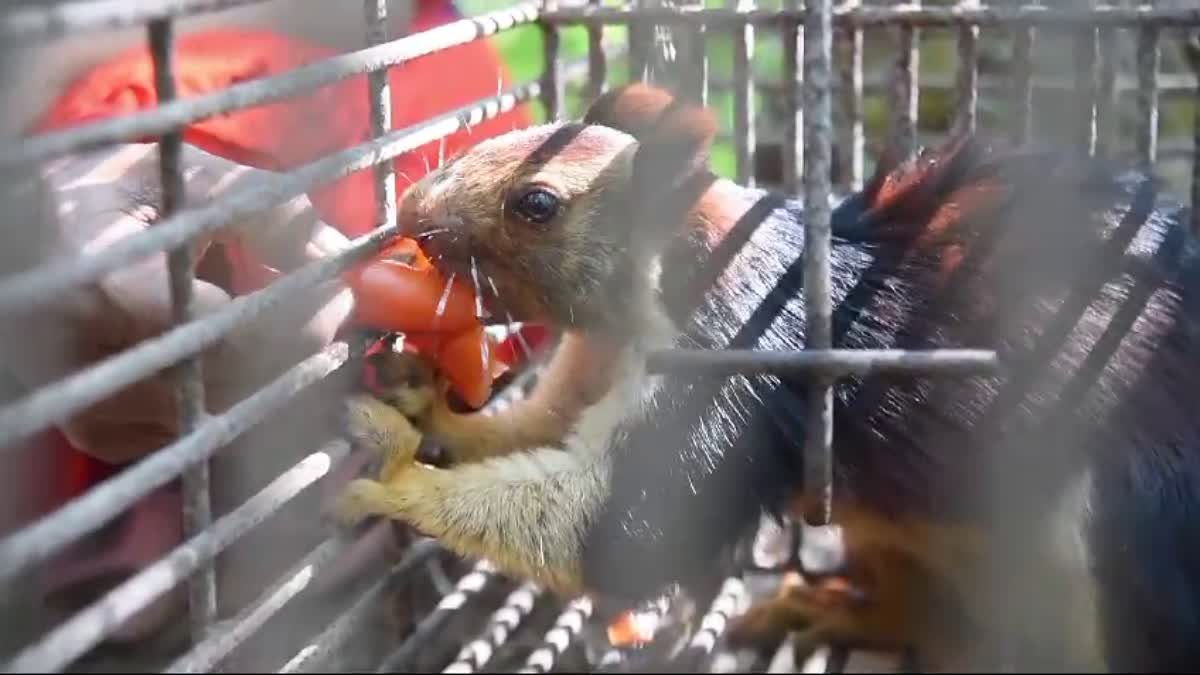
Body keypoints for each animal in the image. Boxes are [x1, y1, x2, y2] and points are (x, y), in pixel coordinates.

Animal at [333, 81, 1200, 667]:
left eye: (537, 203)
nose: (407, 211)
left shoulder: (731, 373)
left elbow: (623, 533)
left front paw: (396, 476)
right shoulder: (595, 365)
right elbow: (536, 429)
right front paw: (424, 405)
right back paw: (842, 615)